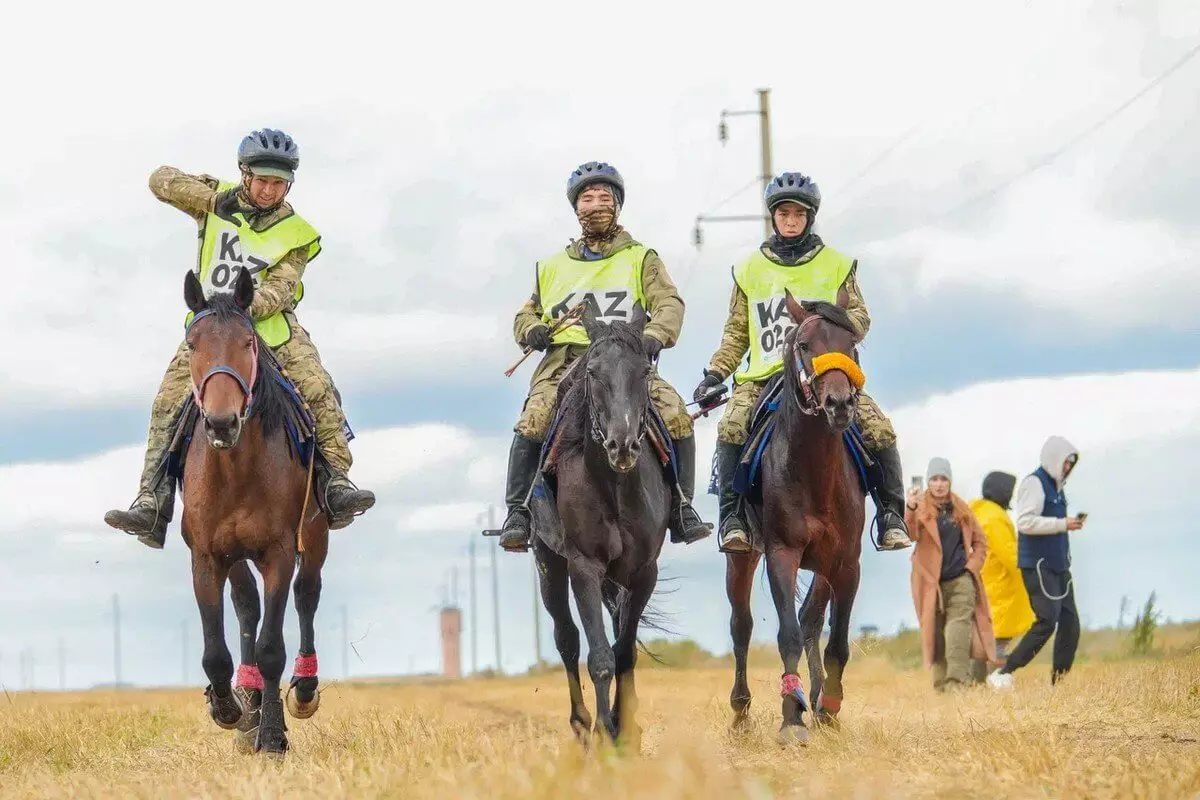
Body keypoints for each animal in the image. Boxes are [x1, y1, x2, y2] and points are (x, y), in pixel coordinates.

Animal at [177, 267, 328, 758]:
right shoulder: (207, 557)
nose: (222, 423)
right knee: (246, 608)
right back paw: (250, 702)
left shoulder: (278, 553)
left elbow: (271, 648)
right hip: (236, 556)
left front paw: (274, 737)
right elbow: (216, 650)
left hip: (314, 537)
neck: (236, 470)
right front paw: (230, 710)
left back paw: (302, 690)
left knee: (307, 595)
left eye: (247, 342)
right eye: (193, 345)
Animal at [530, 307, 672, 753]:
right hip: (550, 567)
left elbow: (624, 651)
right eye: (592, 372)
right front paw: (604, 733)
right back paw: (581, 725)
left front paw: (627, 732)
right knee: (567, 638)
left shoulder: (644, 572)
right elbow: (599, 657)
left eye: (645, 371)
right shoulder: (584, 567)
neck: (615, 486)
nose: (622, 446)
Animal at [724, 293, 868, 743]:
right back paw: (741, 712)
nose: (839, 404)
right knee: (742, 625)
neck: (814, 470)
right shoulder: (781, 555)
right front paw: (791, 718)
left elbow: (836, 640)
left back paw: (819, 701)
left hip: (823, 566)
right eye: (804, 345)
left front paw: (829, 708)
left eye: (852, 343)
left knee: (811, 619)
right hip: (742, 557)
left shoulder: (846, 563)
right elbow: (786, 633)